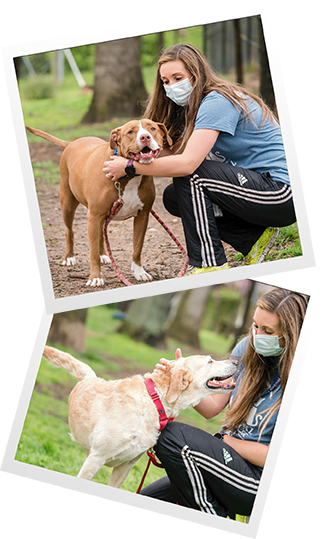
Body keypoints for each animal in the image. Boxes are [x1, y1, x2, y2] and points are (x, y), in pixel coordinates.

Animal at [27, 119, 172, 286]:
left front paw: (139, 272)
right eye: (130, 131)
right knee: (69, 230)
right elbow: (93, 252)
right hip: (68, 204)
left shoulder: (142, 216)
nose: (145, 137)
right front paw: (95, 277)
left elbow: (137, 248)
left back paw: (104, 255)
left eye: (152, 128)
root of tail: (71, 143)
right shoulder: (94, 216)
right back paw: (69, 257)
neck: (128, 176)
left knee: (102, 234)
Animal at [43, 346, 237, 490]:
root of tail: (90, 378)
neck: (154, 401)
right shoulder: (95, 458)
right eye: (210, 361)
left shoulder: (125, 466)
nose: (236, 361)